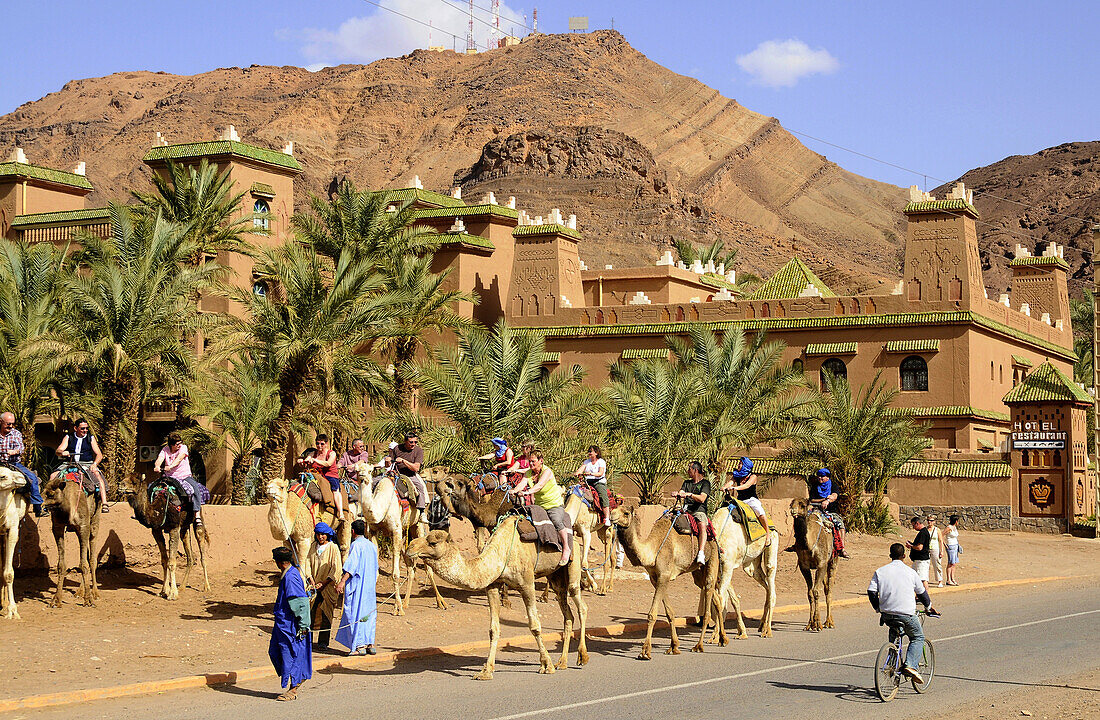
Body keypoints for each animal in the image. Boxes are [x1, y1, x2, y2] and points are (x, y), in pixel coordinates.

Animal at [43, 463, 103, 606]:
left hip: (94, 522)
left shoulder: (84, 527)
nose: (41, 506)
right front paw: (56, 600)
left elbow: (84, 564)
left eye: (51, 494)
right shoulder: (58, 527)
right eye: (43, 492)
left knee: (92, 558)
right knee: (86, 556)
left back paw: (95, 593)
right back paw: (80, 592)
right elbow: (61, 565)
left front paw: (88, 600)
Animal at [404, 514, 589, 677]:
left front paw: (546, 665)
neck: (499, 555)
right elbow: (493, 629)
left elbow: (535, 626)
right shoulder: (492, 586)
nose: (409, 547)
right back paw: (562, 662)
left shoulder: (527, 584)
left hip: (573, 562)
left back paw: (582, 657)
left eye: (433, 542)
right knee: (567, 612)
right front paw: (486, 671)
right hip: (555, 575)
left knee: (581, 604)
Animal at [611, 503, 721, 663]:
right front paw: (674, 647)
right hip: (697, 572)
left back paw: (699, 645)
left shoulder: (664, 575)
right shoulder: (656, 578)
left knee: (708, 596)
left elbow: (652, 614)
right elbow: (670, 612)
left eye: (625, 513)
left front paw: (645, 652)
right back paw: (722, 639)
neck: (653, 549)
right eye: (613, 509)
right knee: (717, 597)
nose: (611, 517)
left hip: (712, 559)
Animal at [704, 501, 783, 641]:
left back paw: (767, 630)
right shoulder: (721, 570)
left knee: (771, 582)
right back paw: (762, 625)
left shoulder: (727, 565)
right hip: (751, 565)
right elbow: (732, 600)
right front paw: (741, 632)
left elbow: (721, 600)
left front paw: (715, 636)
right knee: (764, 584)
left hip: (772, 544)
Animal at [787, 499, 836, 633]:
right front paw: (810, 624)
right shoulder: (804, 567)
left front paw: (817, 624)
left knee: (829, 588)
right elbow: (809, 593)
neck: (809, 544)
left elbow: (816, 592)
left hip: (832, 561)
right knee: (825, 587)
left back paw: (829, 622)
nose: (793, 511)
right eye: (791, 504)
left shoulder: (821, 564)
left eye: (803, 505)